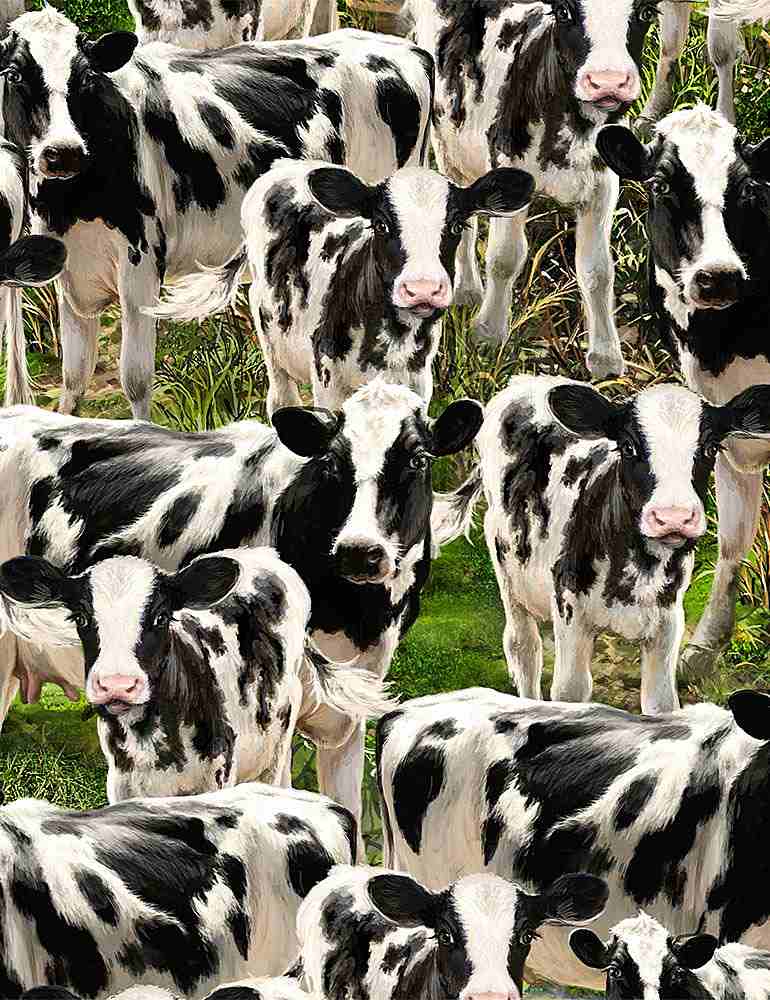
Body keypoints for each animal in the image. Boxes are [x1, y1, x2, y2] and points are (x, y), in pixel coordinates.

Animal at [0, 547, 394, 804]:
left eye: (160, 617)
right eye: (81, 618)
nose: (117, 685)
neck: (150, 741)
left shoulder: (219, 779)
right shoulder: (122, 786)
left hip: (278, 739)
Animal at [153, 159, 534, 412]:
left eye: (456, 225)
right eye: (381, 224)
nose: (423, 288)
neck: (393, 342)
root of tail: (287, 167)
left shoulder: (417, 388)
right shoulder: (329, 386)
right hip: (267, 323)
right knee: (280, 395)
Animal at [403, 0, 658, 379]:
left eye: (645, 13)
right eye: (565, 12)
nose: (608, 82)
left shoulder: (602, 188)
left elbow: (598, 270)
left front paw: (605, 357)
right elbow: (504, 258)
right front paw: (488, 333)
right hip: (448, 141)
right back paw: (467, 291)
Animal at [435, 375, 770, 714]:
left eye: (711, 448)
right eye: (629, 446)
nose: (673, 517)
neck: (638, 570)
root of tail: (528, 380)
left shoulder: (667, 622)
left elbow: (660, 702)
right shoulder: (570, 611)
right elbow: (570, 691)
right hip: (504, 561)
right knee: (523, 647)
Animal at [595, 106, 770, 681]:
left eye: (749, 188)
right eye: (660, 184)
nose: (719, 277)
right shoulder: (730, 427)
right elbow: (734, 537)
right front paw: (708, 642)